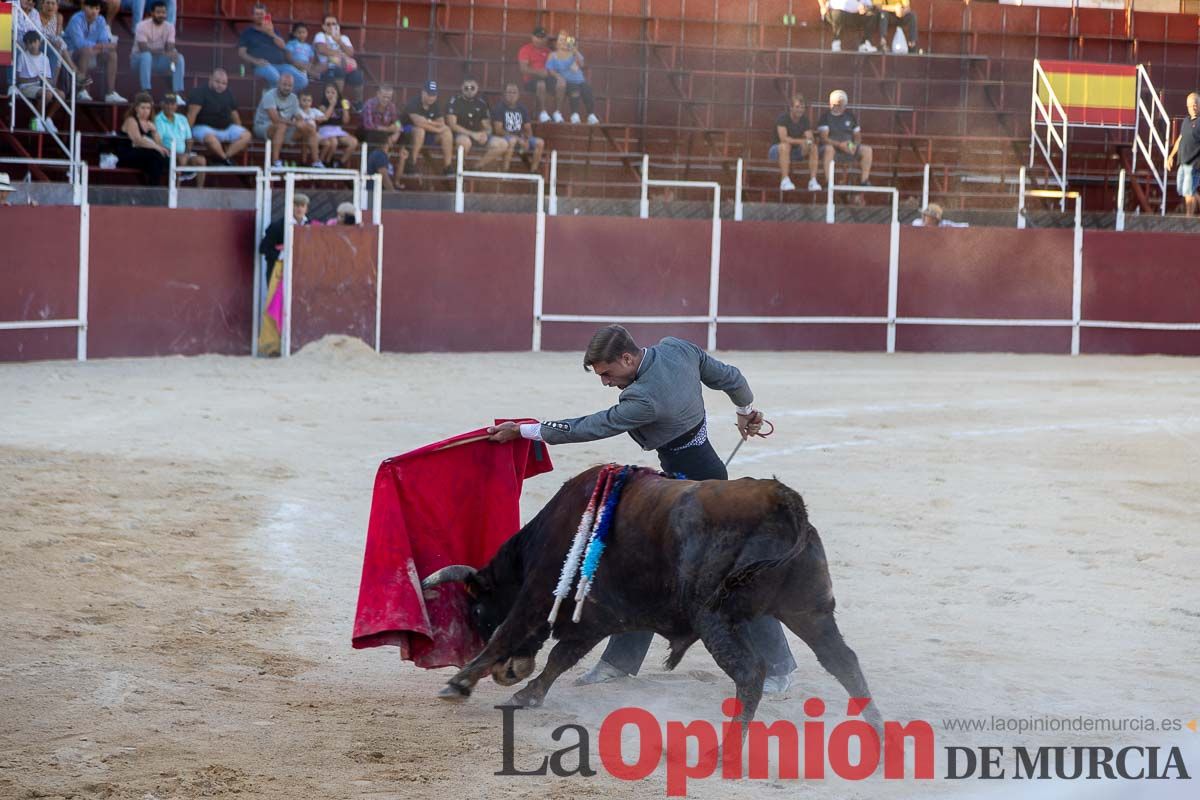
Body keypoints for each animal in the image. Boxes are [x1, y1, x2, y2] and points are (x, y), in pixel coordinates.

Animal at [422, 462, 883, 724]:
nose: (509, 673)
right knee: (843, 661)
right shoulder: (599, 616)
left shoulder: (538, 594)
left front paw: (459, 683)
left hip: (715, 618)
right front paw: (527, 694)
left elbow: (510, 634)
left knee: (751, 672)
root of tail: (783, 500)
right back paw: (880, 739)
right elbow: (561, 657)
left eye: (478, 612)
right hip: (810, 611)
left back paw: (727, 752)